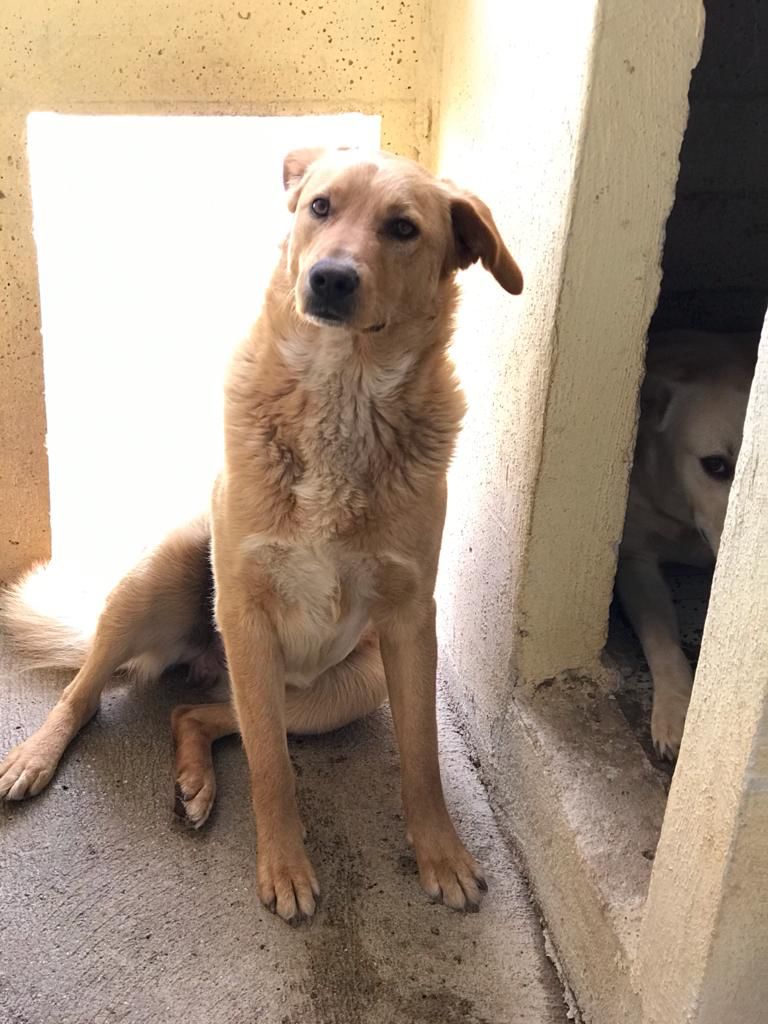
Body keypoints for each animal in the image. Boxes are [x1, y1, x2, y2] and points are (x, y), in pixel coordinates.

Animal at [0, 147, 523, 923]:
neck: (344, 391)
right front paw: (284, 866)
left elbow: (422, 755)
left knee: (201, 714)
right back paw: (38, 756)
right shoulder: (245, 611)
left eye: (403, 228)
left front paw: (441, 853)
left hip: (341, 689)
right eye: (321, 207)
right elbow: (272, 769)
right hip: (163, 579)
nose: (330, 278)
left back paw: (195, 778)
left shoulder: (409, 621)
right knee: (90, 694)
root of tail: (195, 660)